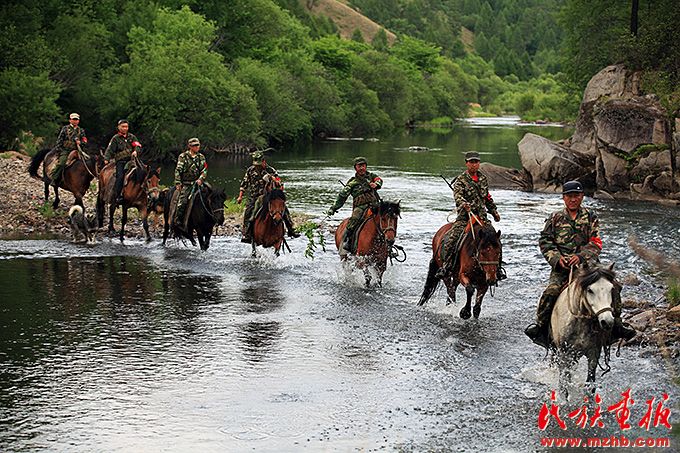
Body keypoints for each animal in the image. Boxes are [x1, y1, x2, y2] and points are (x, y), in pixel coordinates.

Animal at [550, 263, 617, 393]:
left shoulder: (593, 354)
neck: (581, 323)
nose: (607, 322)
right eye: (590, 290)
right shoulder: (564, 354)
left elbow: (590, 385)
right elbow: (564, 384)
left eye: (611, 289)